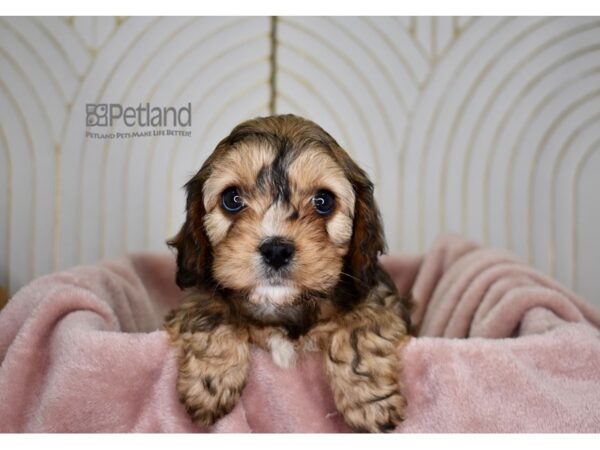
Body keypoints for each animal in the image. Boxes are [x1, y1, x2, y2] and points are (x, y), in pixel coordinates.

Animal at [164, 115, 412, 432]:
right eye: (232, 198)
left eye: (323, 201)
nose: (276, 250)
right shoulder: (198, 294)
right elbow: (209, 310)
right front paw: (210, 383)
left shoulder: (381, 296)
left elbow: (362, 325)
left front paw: (369, 400)